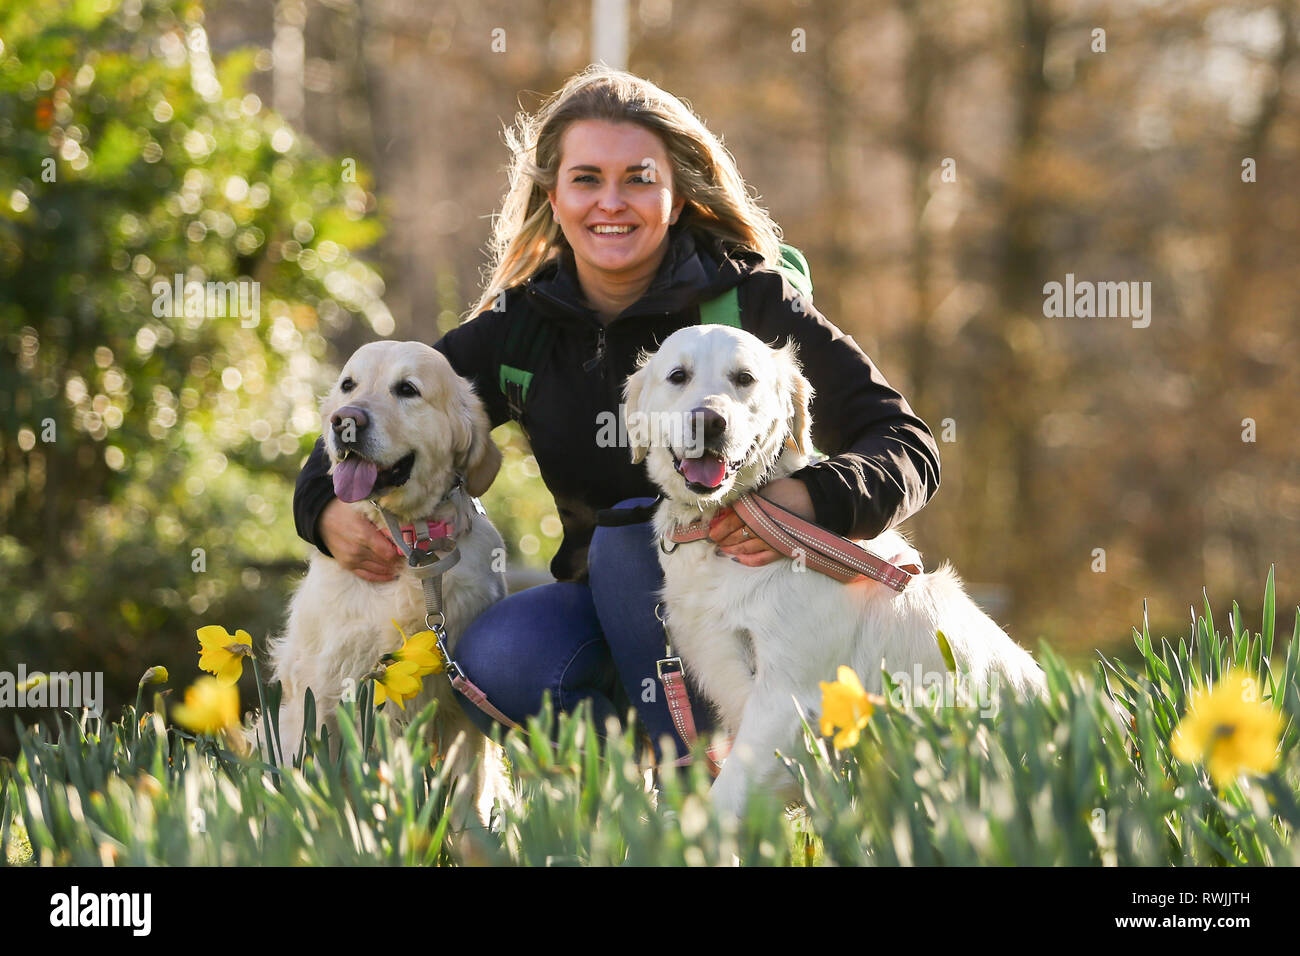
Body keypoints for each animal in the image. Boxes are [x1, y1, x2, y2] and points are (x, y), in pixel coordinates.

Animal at [261, 343, 509, 832]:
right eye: (348, 384)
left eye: (407, 389)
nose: (345, 421)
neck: (410, 544)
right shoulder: (324, 692)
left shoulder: (458, 707)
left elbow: (466, 792)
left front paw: (471, 840)